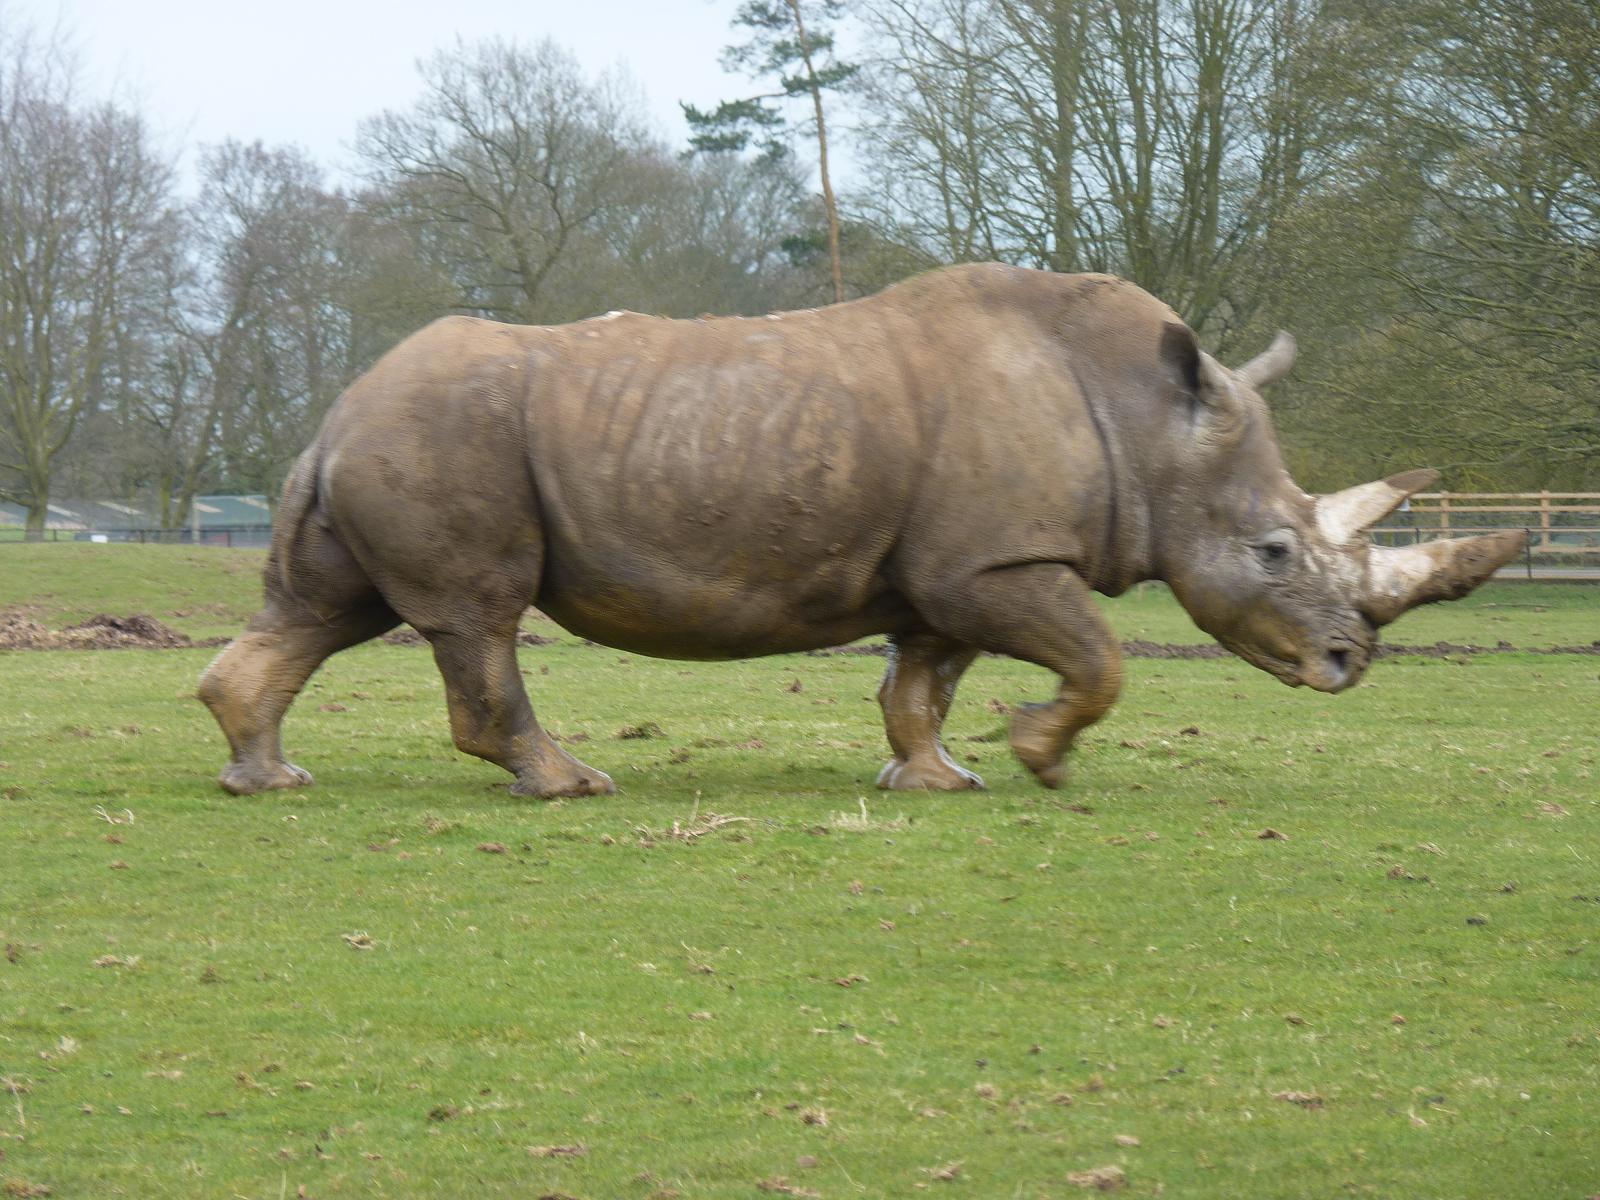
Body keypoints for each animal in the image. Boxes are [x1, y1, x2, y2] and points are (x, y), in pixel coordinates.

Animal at [199, 263, 1525, 798]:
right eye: (1272, 552)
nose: (1348, 661)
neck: (1148, 425)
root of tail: (335, 408)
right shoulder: (994, 559)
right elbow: (1096, 659)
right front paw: (1040, 759)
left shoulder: (949, 567)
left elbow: (920, 680)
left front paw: (938, 778)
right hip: (442, 434)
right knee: (473, 617)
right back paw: (569, 786)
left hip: (398, 439)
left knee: (327, 610)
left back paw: (267, 780)